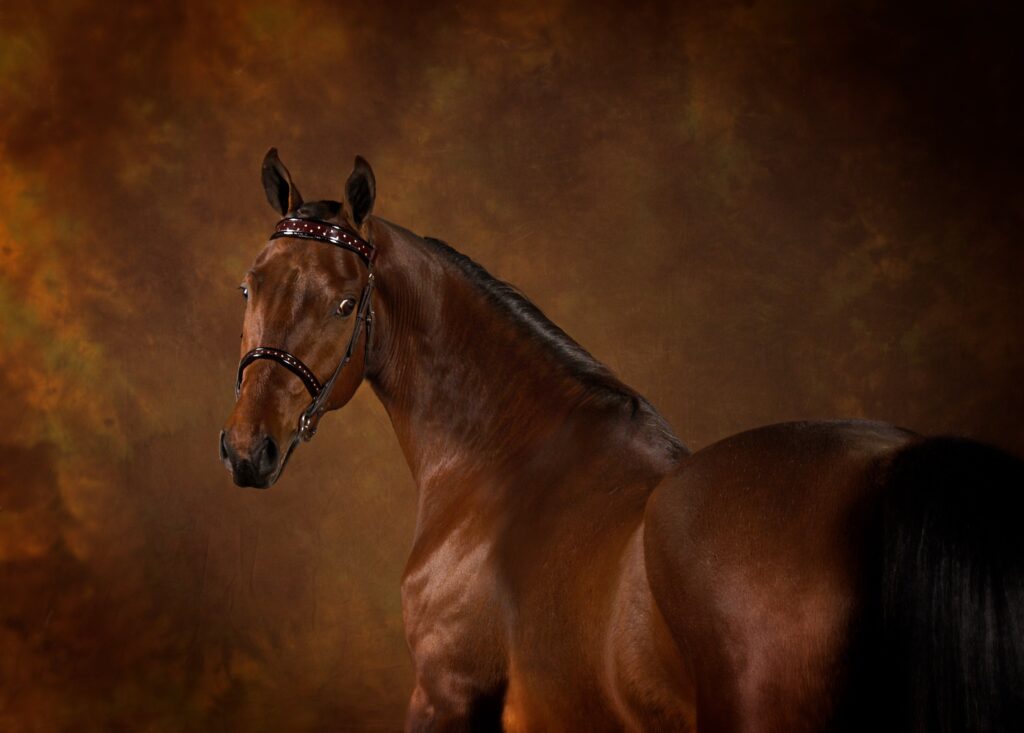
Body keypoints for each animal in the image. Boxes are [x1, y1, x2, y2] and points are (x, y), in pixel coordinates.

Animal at [219, 149, 1024, 732]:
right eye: (250, 285)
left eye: (343, 303)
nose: (248, 448)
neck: (505, 463)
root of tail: (889, 468)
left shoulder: (445, 693)